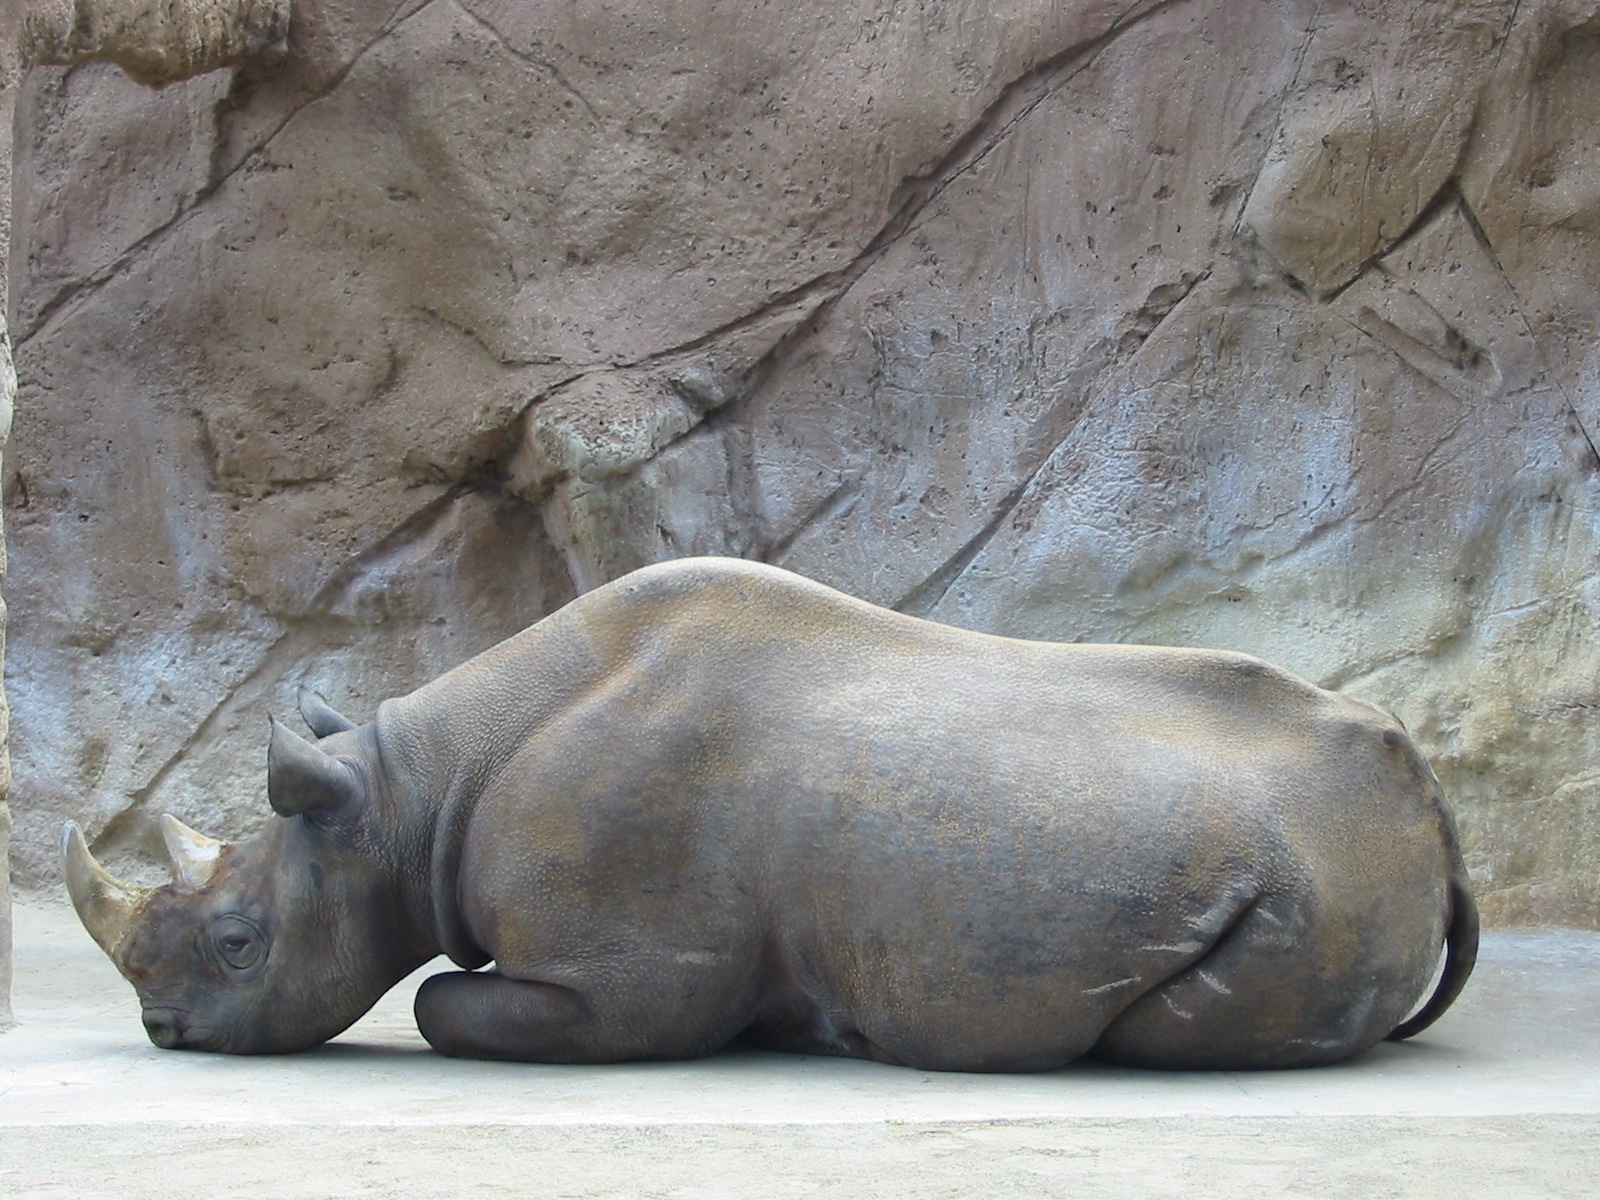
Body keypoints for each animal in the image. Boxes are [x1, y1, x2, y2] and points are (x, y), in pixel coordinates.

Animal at [63, 557, 1476, 1070]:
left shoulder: (621, 977)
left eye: (239, 943)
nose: (166, 1032)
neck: (409, 797)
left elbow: (440, 1003)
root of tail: (1435, 819)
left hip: (1319, 874)